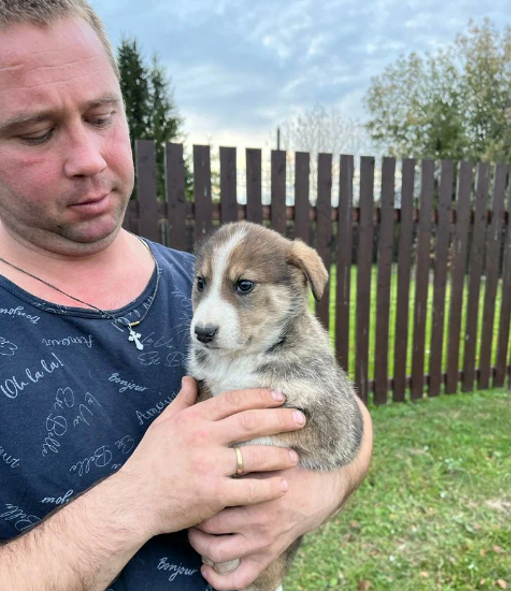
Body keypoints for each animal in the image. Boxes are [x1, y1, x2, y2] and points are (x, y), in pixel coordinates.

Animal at [189, 222, 364, 591]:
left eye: (244, 285)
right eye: (201, 282)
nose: (203, 332)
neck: (238, 360)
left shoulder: (336, 427)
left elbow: (271, 431)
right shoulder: (204, 387)